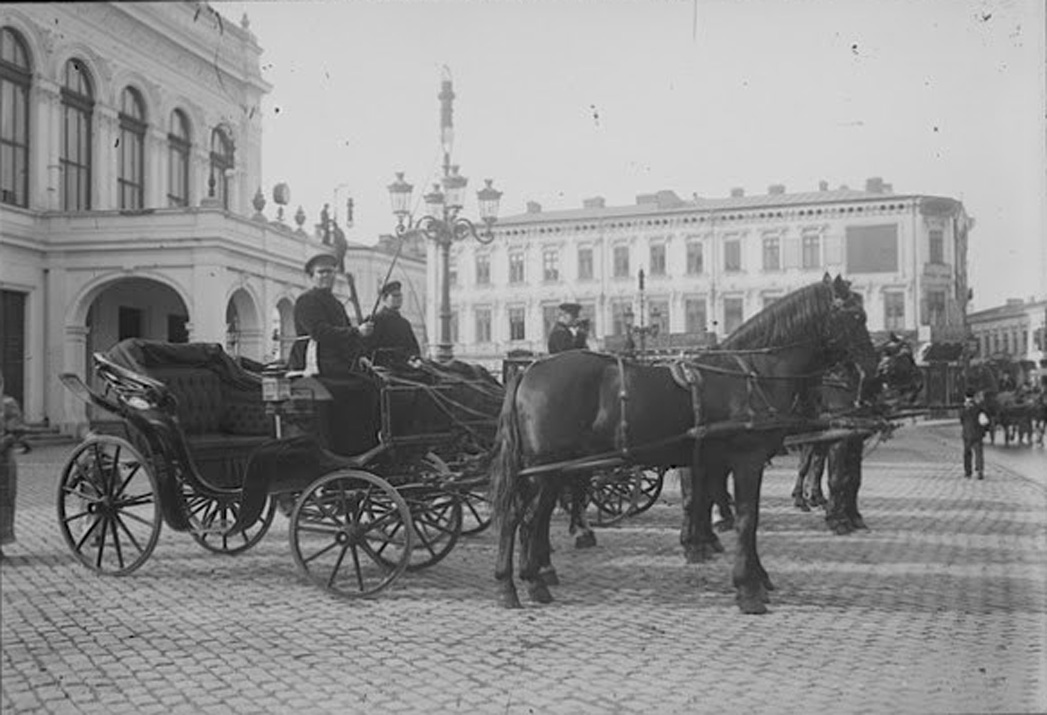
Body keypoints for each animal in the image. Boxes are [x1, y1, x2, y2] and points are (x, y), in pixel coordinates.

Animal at [489, 274, 875, 615]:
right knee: (517, 518)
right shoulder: (746, 461)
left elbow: (725, 509)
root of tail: (528, 371)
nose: (868, 369)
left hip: (553, 470)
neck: (753, 373)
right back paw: (510, 585)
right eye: (857, 316)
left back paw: (534, 581)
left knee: (533, 519)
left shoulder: (716, 462)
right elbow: (746, 518)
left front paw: (754, 575)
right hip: (543, 469)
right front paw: (747, 588)